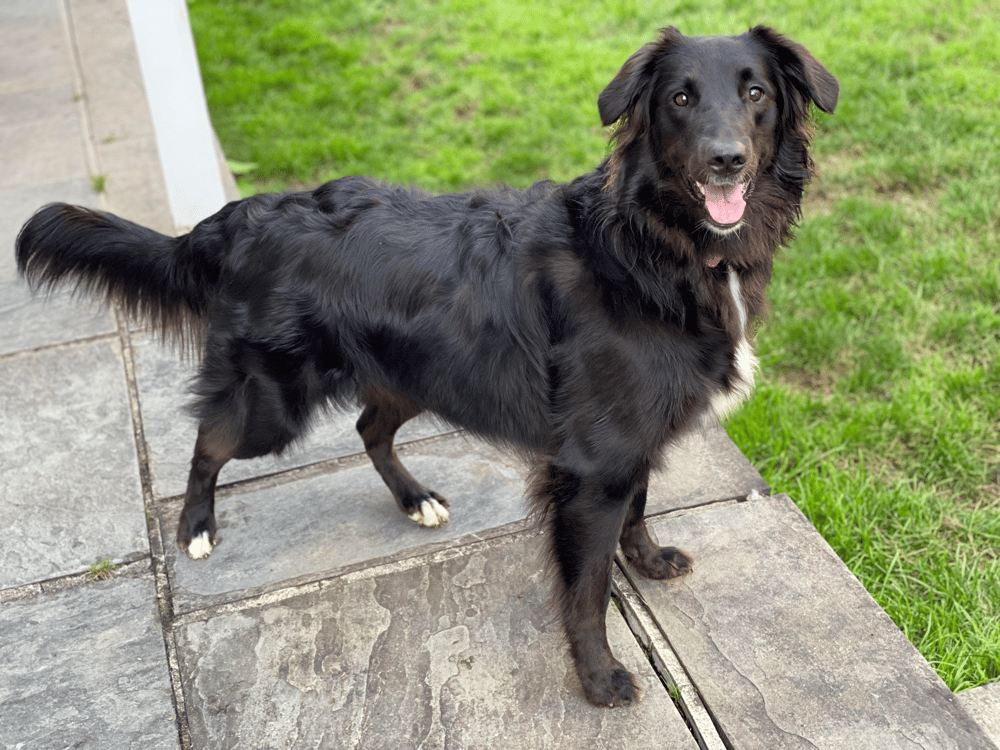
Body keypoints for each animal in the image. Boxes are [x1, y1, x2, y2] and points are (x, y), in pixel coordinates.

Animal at [15, 27, 836, 712]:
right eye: (680, 99)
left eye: (756, 93)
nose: (725, 159)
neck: (653, 247)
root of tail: (236, 217)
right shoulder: (591, 465)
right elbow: (587, 590)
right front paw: (598, 678)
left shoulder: (628, 444)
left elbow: (637, 509)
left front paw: (650, 559)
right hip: (272, 406)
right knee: (208, 443)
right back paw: (195, 528)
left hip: (413, 376)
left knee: (367, 427)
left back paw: (414, 501)